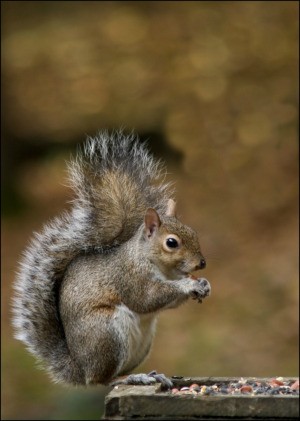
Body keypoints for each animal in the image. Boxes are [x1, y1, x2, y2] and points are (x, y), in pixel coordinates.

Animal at [12, 130, 211, 388]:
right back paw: (133, 377)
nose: (202, 263)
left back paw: (149, 375)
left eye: (194, 233)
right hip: (107, 333)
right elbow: (147, 298)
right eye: (171, 243)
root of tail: (80, 368)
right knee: (103, 379)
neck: (158, 266)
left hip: (140, 344)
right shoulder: (129, 277)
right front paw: (188, 285)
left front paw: (203, 284)